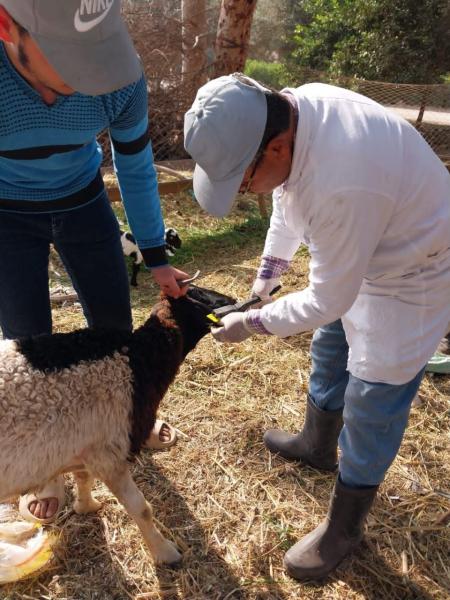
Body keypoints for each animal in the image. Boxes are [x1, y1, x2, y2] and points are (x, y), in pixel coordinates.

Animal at [0, 284, 236, 568]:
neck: (136, 360)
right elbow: (140, 509)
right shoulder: (110, 453)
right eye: (199, 294)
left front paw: (86, 506)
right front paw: (165, 553)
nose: (233, 299)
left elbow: (83, 477)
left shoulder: (85, 445)